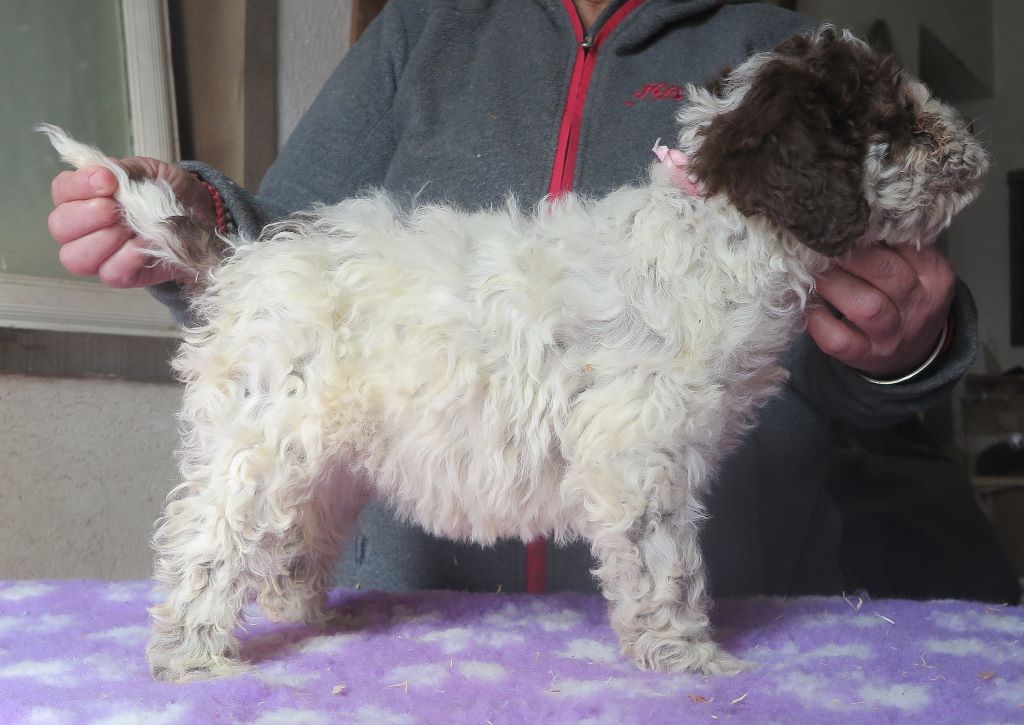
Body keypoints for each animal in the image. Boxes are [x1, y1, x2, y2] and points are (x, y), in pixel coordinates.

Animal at [41, 26, 987, 683]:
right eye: (896, 121)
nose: (974, 153)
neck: (717, 225)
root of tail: (241, 261)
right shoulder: (641, 461)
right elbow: (668, 570)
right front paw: (688, 656)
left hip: (326, 456)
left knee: (293, 540)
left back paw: (318, 616)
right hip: (262, 437)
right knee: (209, 538)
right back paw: (192, 657)